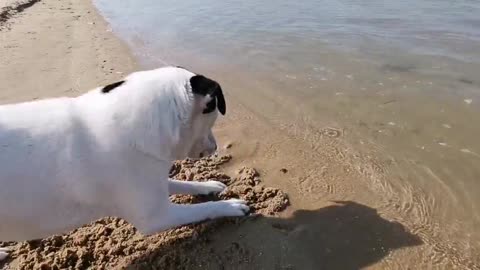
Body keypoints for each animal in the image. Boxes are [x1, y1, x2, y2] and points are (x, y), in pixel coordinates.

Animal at [0, 66, 248, 260]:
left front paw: (207, 185)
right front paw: (229, 206)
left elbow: (179, 183)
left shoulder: (151, 177)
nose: (215, 147)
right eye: (212, 116)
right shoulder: (157, 216)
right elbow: (203, 209)